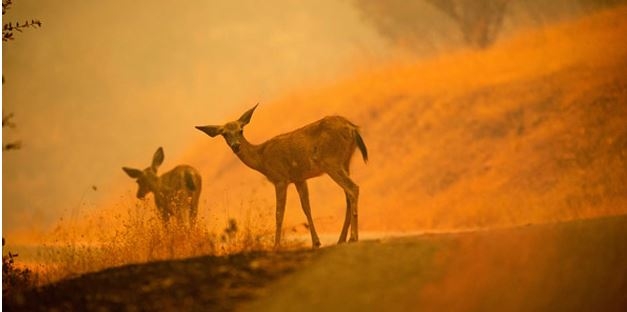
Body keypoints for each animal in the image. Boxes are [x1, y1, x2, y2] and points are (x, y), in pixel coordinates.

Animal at [196, 105, 368, 249]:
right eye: (224, 134)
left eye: (241, 130)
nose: (236, 145)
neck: (262, 158)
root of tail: (352, 128)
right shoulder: (299, 178)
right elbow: (306, 208)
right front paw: (316, 242)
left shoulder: (280, 178)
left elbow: (279, 213)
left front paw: (276, 246)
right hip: (345, 161)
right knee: (348, 195)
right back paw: (342, 239)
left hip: (331, 161)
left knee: (353, 188)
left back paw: (353, 237)